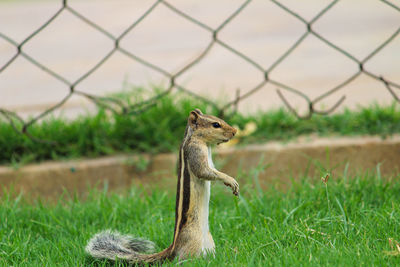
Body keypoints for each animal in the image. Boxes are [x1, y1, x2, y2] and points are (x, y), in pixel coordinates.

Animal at [86, 109, 239, 266]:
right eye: (216, 124)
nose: (235, 131)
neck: (197, 139)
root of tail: (174, 247)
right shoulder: (195, 152)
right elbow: (203, 172)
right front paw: (230, 180)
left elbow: (212, 171)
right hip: (193, 240)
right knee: (182, 261)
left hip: (209, 241)